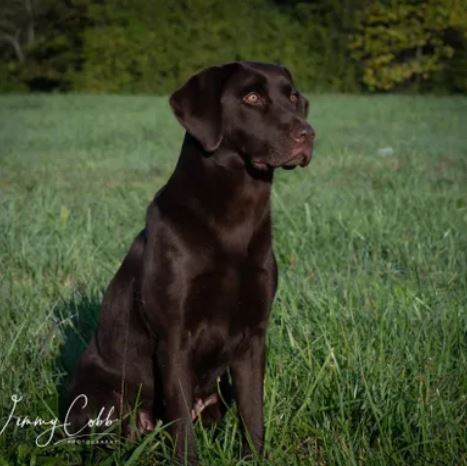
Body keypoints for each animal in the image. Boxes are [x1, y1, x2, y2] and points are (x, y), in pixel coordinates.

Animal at [66, 61, 314, 462]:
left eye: (292, 96)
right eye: (252, 97)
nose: (307, 134)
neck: (234, 218)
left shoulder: (253, 337)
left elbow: (253, 414)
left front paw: (254, 458)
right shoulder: (174, 337)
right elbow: (182, 423)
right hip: (102, 398)